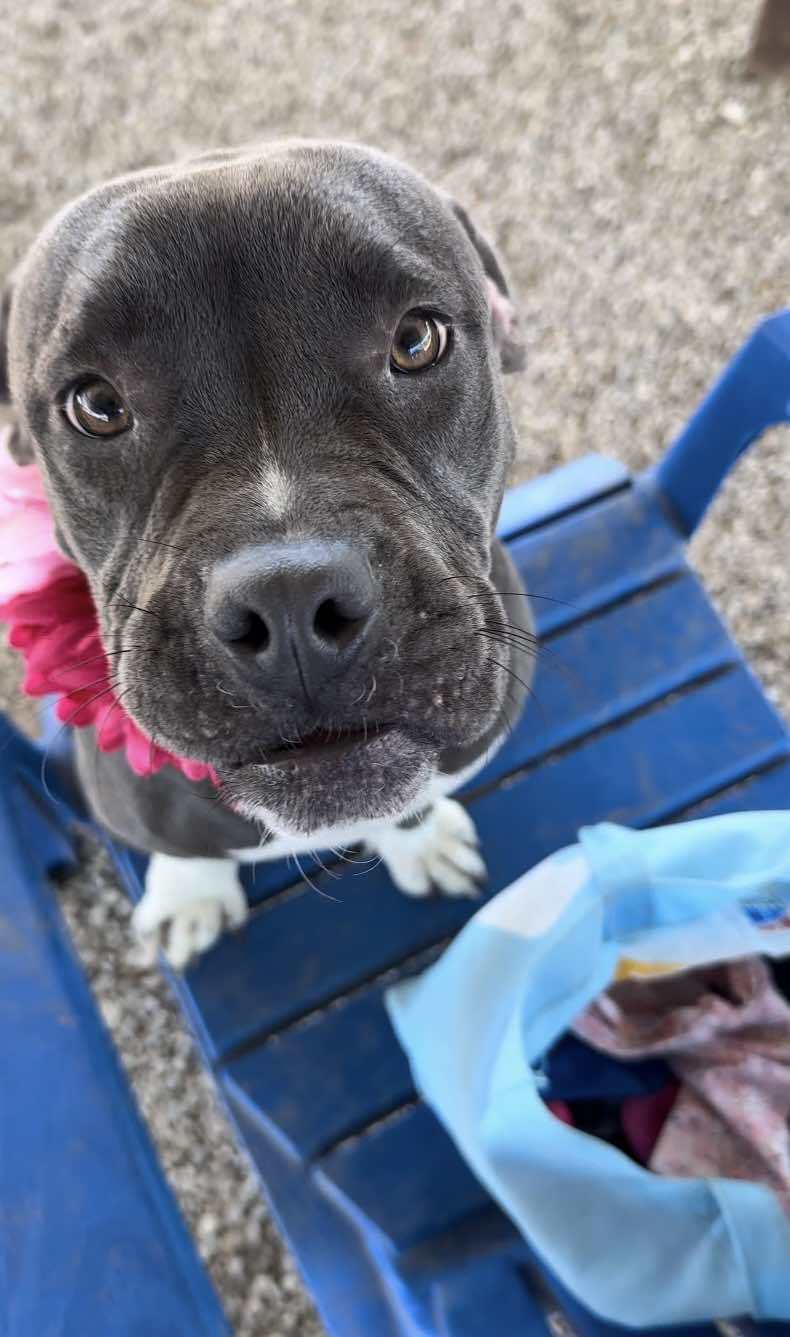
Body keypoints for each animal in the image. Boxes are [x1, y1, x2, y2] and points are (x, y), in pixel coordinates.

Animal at [0, 141, 534, 967]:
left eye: (417, 341)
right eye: (96, 405)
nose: (290, 598)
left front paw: (419, 840)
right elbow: (184, 848)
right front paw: (189, 894)